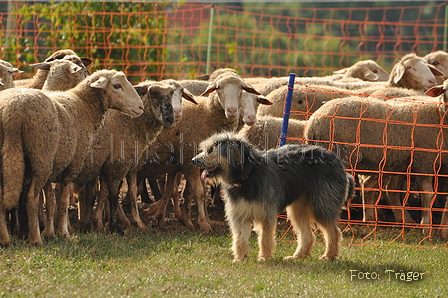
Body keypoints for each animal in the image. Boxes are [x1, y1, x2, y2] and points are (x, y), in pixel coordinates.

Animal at [0, 70, 144, 247]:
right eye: (117, 85)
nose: (140, 107)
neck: (84, 106)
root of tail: (12, 110)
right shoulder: (72, 164)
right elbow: (62, 200)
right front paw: (64, 233)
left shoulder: (56, 165)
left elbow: (52, 199)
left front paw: (50, 233)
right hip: (41, 157)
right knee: (31, 199)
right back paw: (35, 239)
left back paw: (4, 239)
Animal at [191, 132, 356, 262]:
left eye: (211, 149)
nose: (193, 161)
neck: (247, 176)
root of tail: (339, 164)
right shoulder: (239, 215)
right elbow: (239, 239)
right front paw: (240, 259)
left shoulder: (266, 214)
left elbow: (265, 238)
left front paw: (264, 258)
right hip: (298, 209)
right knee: (308, 235)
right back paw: (298, 256)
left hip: (321, 205)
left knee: (334, 232)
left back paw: (329, 256)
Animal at [306, 79, 448, 237]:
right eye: (445, 90)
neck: (438, 114)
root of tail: (313, 122)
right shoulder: (424, 161)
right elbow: (428, 195)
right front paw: (426, 227)